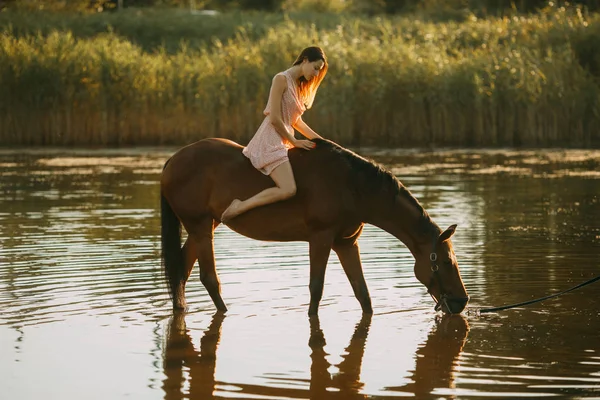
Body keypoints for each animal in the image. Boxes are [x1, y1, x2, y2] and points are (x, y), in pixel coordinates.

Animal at [162, 138, 472, 316]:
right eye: (445, 261)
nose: (462, 302)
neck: (352, 186)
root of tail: (172, 161)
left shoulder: (346, 243)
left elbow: (363, 294)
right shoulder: (321, 238)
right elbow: (316, 288)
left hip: (203, 228)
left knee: (181, 270)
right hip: (201, 227)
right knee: (208, 278)